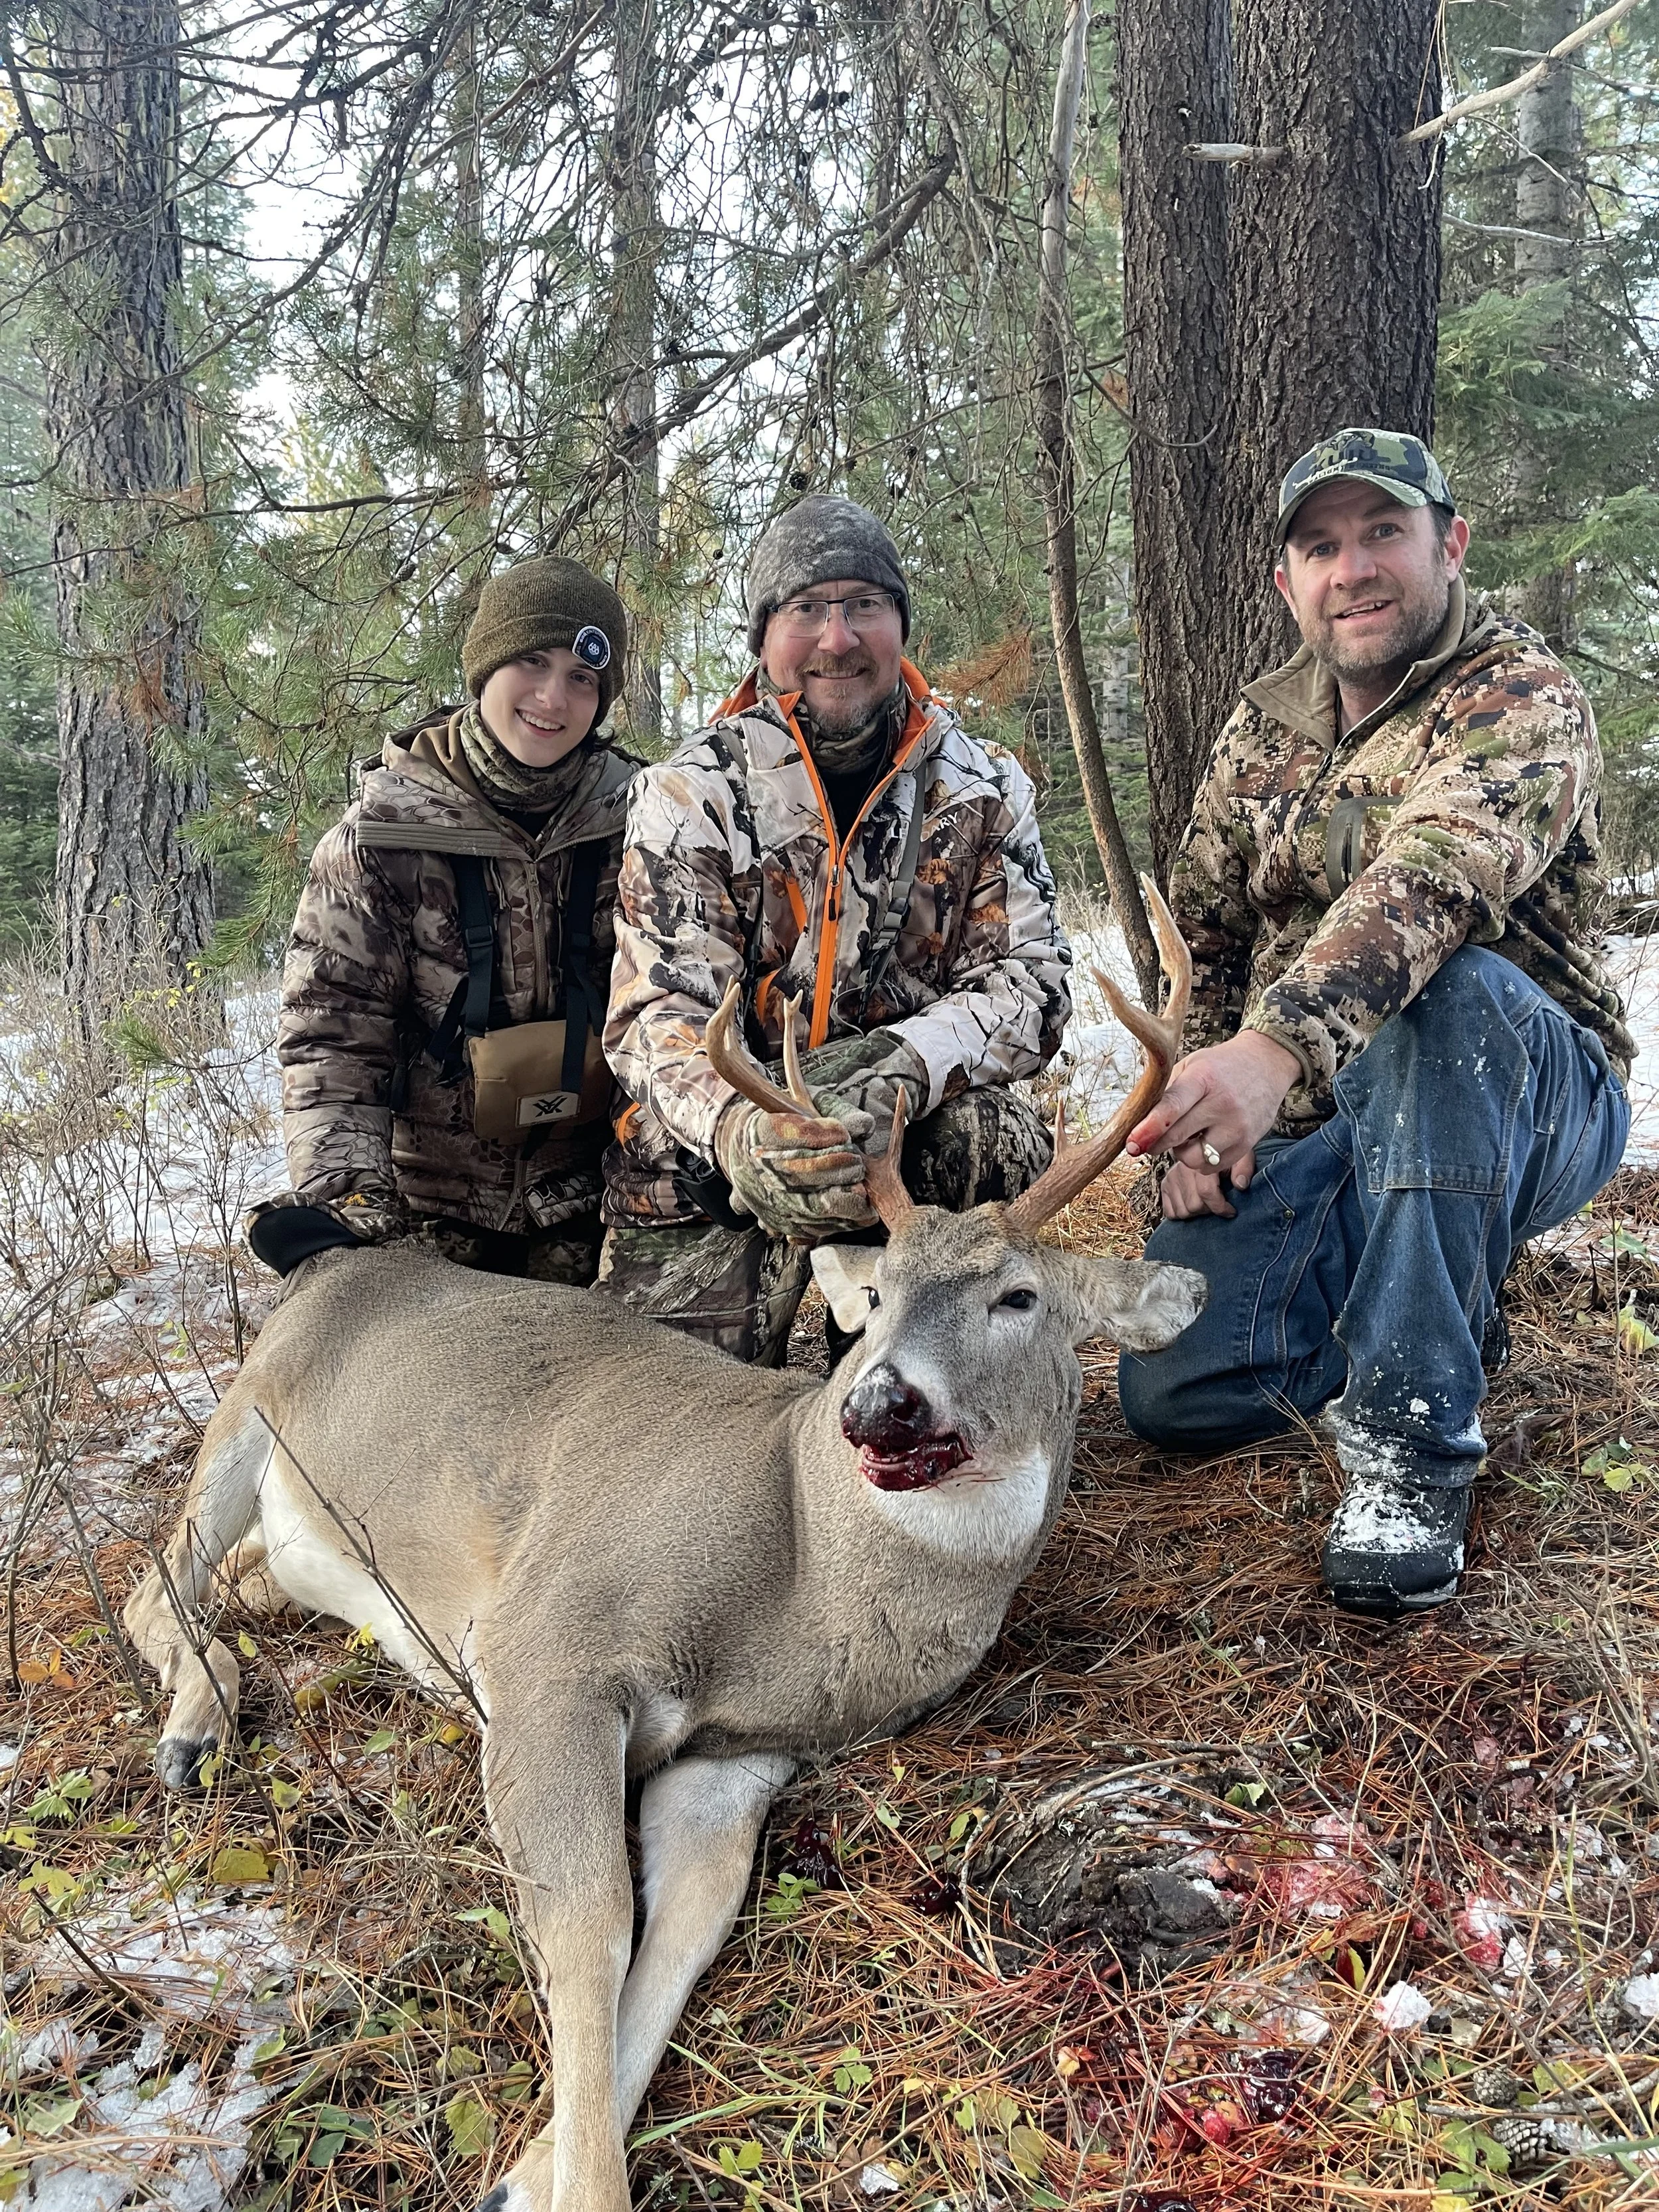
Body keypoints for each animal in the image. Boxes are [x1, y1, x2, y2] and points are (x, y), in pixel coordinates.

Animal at [123, 879, 1204, 2212]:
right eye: (877, 1297)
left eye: (1020, 1297)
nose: (876, 1405)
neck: (796, 1568)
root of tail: (334, 1259)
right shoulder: (548, 1644)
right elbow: (590, 1926)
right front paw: (566, 2177)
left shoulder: (738, 1759)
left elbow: (679, 1939)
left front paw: (526, 2167)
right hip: (250, 1405)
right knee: (153, 1577)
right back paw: (192, 1729)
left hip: (296, 1543)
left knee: (225, 1586)